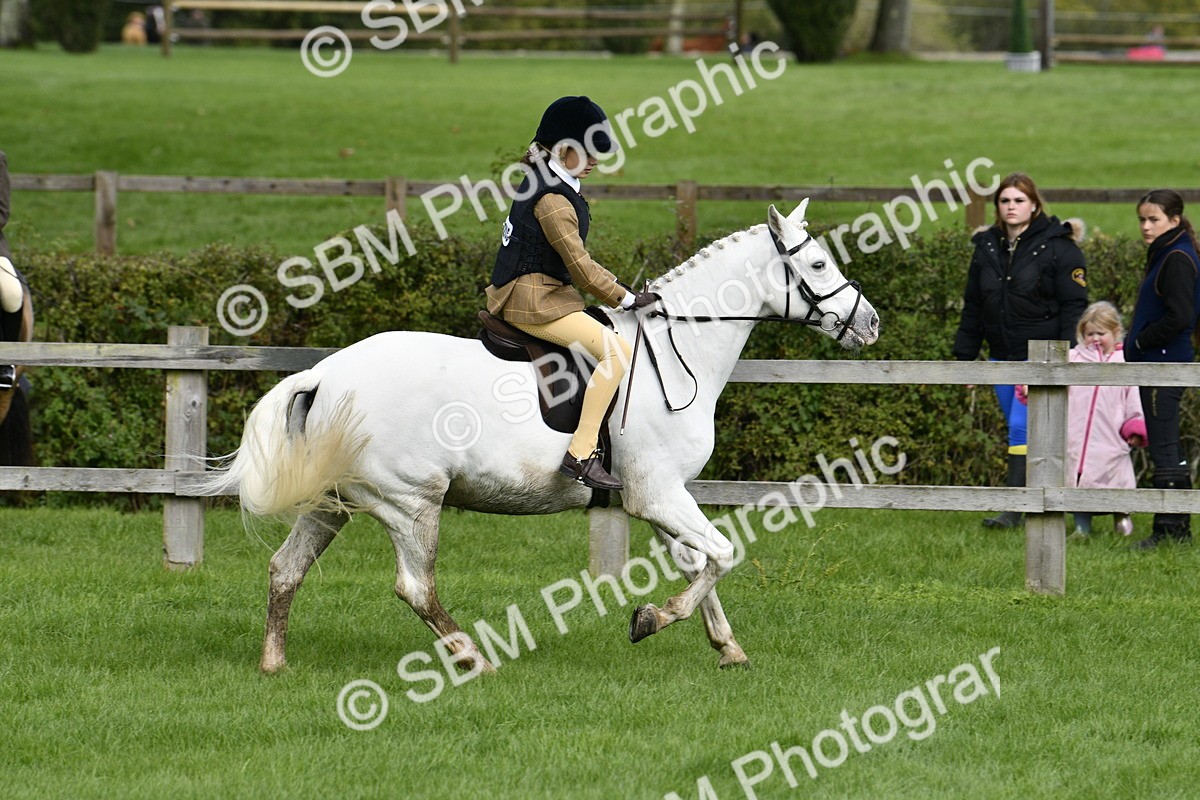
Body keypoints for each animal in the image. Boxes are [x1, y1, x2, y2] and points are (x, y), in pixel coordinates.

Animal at [210, 200, 880, 674]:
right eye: (818, 265)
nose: (869, 323)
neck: (677, 348)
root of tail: (325, 374)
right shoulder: (657, 494)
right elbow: (721, 553)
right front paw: (653, 618)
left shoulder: (667, 496)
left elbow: (701, 560)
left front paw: (726, 647)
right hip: (410, 501)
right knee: (415, 587)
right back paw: (474, 659)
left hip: (334, 502)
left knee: (285, 570)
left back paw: (274, 663)